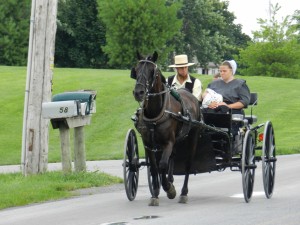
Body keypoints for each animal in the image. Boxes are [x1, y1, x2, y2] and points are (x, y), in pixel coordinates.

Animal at [131, 51, 202, 206]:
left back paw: (183, 193)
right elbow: (154, 167)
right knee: (172, 157)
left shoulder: (168, 142)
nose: (139, 92)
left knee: (188, 164)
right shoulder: (148, 144)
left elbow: (162, 164)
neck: (156, 112)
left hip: (193, 137)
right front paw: (155, 194)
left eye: (153, 71)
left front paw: (169, 189)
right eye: (136, 70)